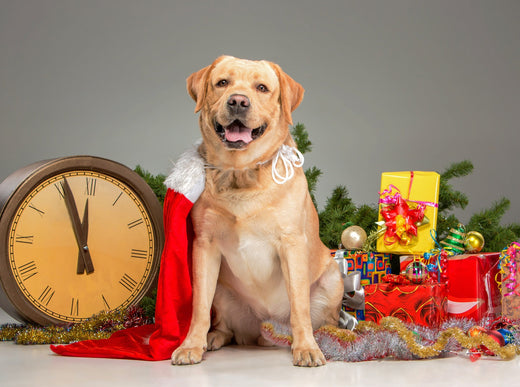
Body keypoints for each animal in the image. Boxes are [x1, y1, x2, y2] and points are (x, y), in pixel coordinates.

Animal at [172, 55, 346, 366]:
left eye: (262, 88)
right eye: (222, 83)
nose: (238, 101)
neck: (240, 173)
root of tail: (267, 331)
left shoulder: (291, 243)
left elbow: (299, 306)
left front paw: (307, 348)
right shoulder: (204, 245)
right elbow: (199, 307)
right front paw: (191, 345)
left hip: (332, 278)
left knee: (323, 319)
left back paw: (330, 338)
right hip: (223, 290)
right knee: (225, 325)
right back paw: (213, 338)